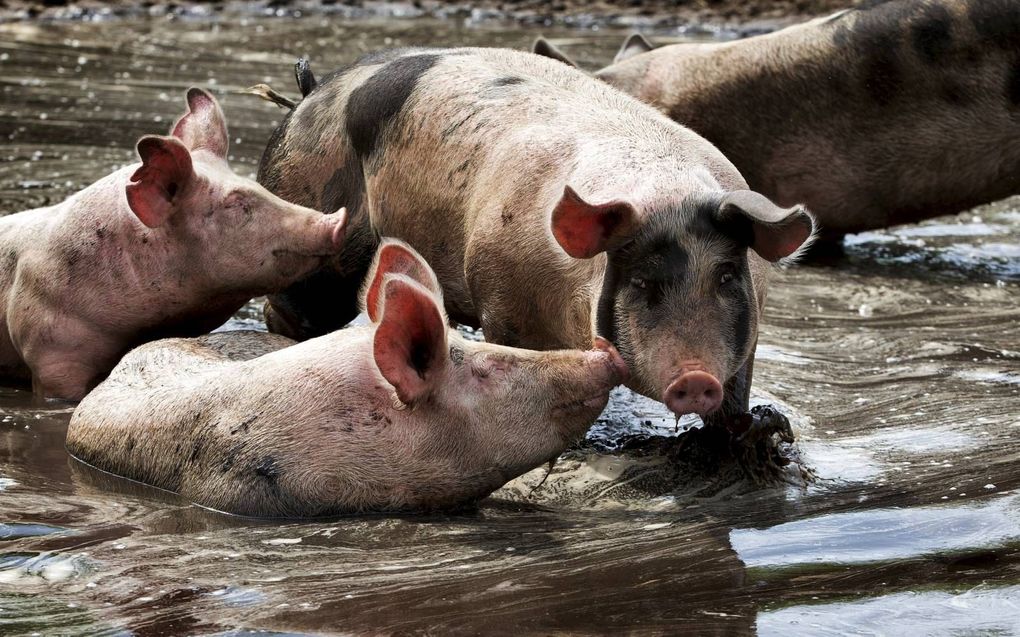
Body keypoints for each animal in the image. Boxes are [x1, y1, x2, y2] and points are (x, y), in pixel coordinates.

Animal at [259, 48, 816, 432]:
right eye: (642, 283)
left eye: (726, 276)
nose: (695, 379)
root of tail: (308, 95)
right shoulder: (501, 298)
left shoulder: (749, 336)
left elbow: (736, 395)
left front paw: (764, 430)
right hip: (310, 224)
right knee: (290, 310)